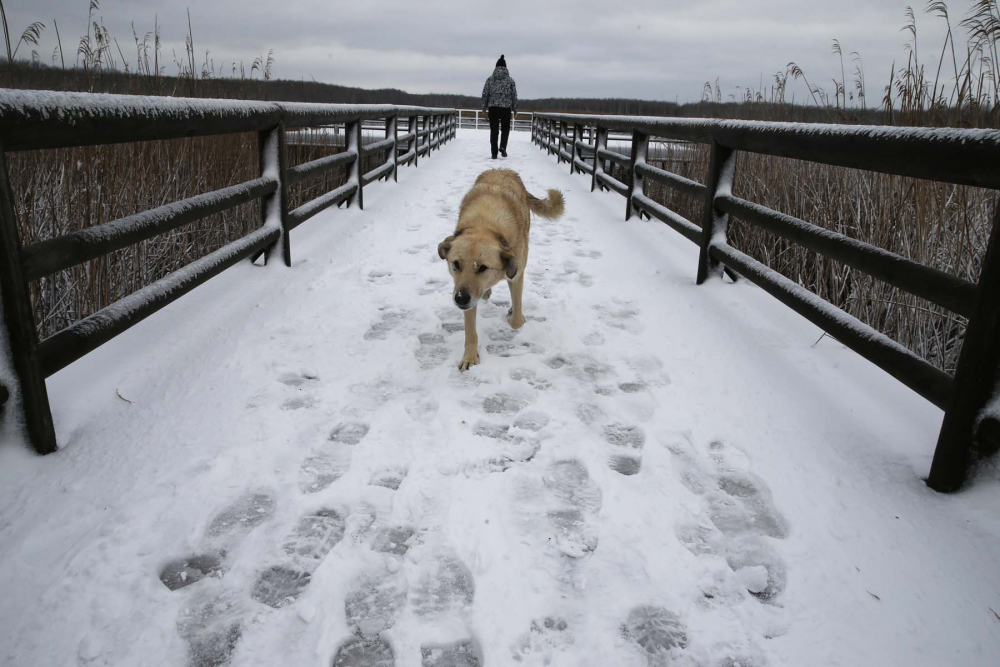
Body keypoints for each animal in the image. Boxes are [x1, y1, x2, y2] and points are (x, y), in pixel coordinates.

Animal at [436, 168, 564, 370]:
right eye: (456, 264)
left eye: (483, 267)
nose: (460, 299)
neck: (485, 225)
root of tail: (503, 169)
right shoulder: (468, 295)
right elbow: (470, 331)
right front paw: (470, 357)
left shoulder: (516, 274)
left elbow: (517, 320)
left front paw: (514, 317)